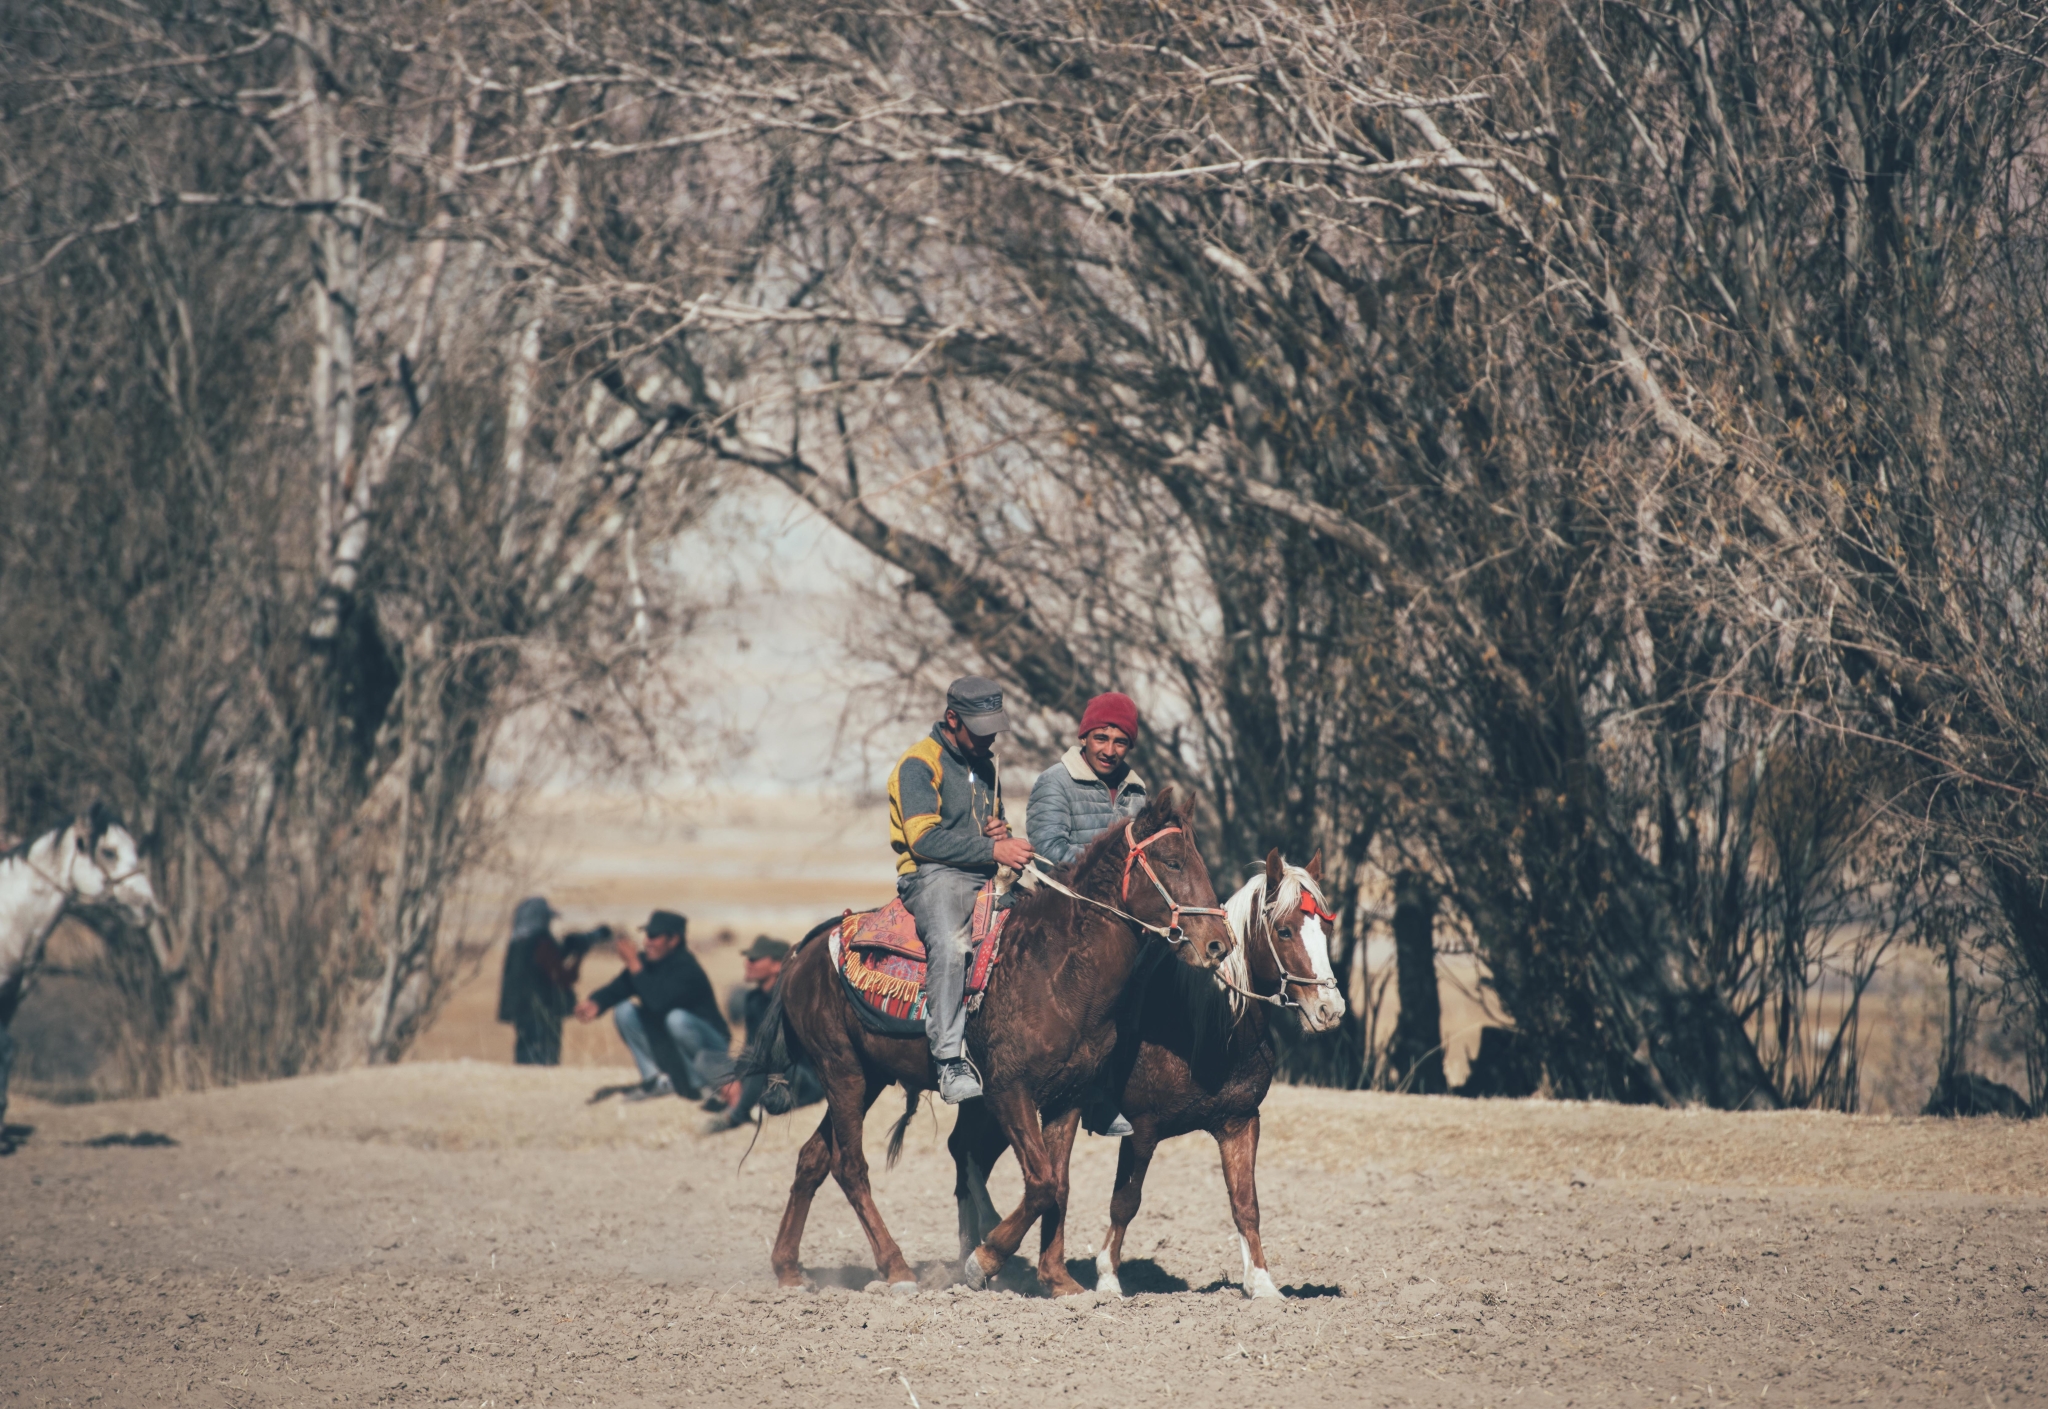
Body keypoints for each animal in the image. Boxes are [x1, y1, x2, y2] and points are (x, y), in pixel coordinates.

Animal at [753, 786, 1228, 1294]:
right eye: (1173, 861)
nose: (1219, 943)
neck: (1056, 968)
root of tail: (806, 950)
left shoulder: (1069, 1097)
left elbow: (1059, 1184)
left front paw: (1058, 1279)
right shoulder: (1007, 1090)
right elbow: (1040, 1182)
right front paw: (985, 1259)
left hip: (869, 1077)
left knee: (813, 1158)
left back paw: (788, 1268)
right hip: (842, 1071)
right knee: (849, 1166)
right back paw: (896, 1268)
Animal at [946, 847, 1343, 1302]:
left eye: (1325, 929)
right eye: (1284, 931)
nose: (1331, 1010)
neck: (1205, 1024)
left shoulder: (1240, 1122)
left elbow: (1246, 1204)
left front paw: (1262, 1284)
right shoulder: (1143, 1128)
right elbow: (1126, 1202)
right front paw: (1107, 1279)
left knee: (969, 1155)